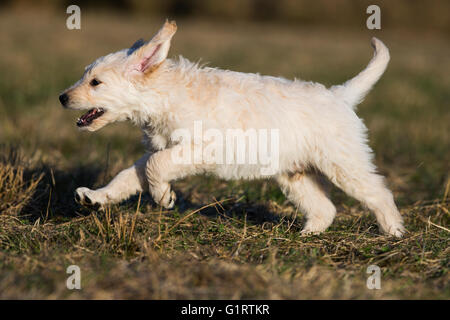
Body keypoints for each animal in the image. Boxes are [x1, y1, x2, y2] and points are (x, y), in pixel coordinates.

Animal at [59, 20, 404, 235]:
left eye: (95, 82)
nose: (62, 97)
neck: (163, 93)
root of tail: (339, 94)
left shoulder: (198, 148)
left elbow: (156, 167)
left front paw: (164, 197)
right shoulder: (162, 150)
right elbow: (129, 175)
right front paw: (96, 197)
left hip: (344, 166)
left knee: (380, 193)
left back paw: (394, 232)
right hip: (295, 174)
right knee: (325, 208)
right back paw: (307, 235)